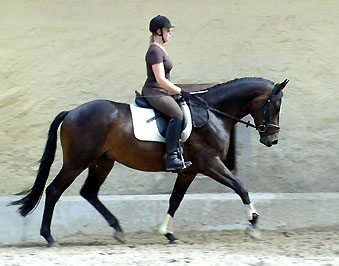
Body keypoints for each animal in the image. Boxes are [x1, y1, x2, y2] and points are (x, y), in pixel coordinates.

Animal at [10, 76, 288, 245]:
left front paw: (168, 233)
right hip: (77, 161)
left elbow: (175, 200)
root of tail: (71, 112)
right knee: (54, 190)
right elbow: (240, 187)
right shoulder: (210, 164)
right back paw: (49, 237)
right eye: (275, 105)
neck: (214, 114)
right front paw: (254, 223)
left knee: (89, 192)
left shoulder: (189, 171)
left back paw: (118, 230)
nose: (272, 139)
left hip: (102, 162)